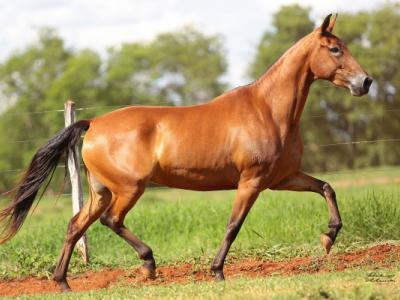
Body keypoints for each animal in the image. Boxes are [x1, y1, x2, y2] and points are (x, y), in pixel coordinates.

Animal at [0, 14, 372, 290]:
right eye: (335, 49)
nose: (365, 82)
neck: (267, 110)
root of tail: (93, 124)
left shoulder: (282, 178)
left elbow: (326, 187)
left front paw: (328, 237)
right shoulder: (251, 182)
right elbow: (233, 225)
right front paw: (217, 271)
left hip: (102, 191)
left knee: (75, 225)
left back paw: (62, 281)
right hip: (128, 189)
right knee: (111, 220)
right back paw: (148, 264)